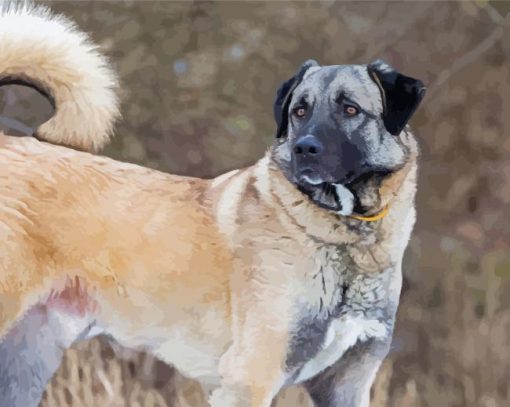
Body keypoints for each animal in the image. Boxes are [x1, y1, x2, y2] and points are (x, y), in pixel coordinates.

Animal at [0, 3, 426, 407]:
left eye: (350, 109)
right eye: (299, 111)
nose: (304, 149)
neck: (344, 240)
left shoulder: (346, 383)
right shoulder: (249, 378)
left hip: (27, 361)